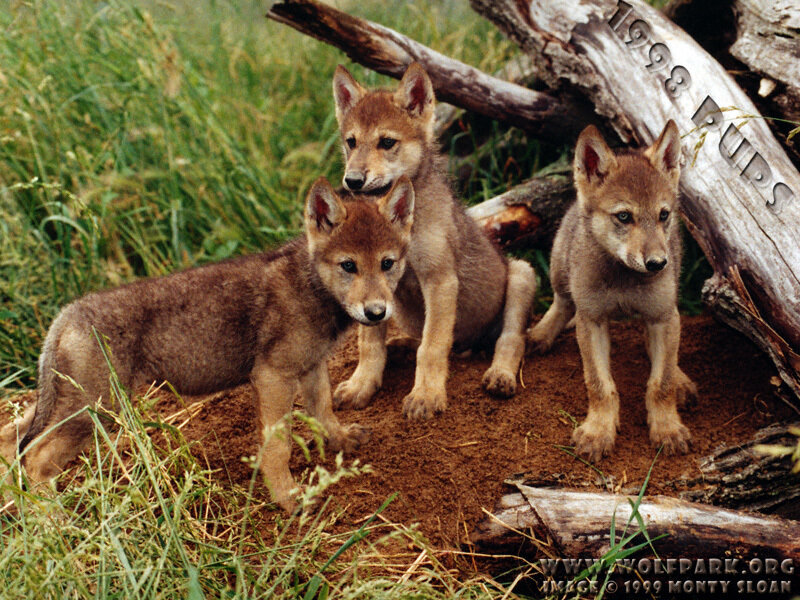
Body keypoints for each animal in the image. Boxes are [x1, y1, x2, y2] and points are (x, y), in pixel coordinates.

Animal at [9, 176, 414, 510]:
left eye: (387, 263)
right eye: (349, 266)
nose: (377, 312)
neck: (310, 285)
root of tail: (65, 316)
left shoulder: (311, 367)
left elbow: (324, 413)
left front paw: (342, 440)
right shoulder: (273, 376)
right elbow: (278, 446)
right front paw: (287, 498)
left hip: (66, 404)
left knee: (11, 441)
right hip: (95, 407)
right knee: (36, 457)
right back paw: (56, 521)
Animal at [331, 62, 537, 418]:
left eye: (387, 142)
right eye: (351, 142)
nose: (352, 180)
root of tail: (472, 346)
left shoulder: (440, 280)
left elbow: (432, 346)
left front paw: (426, 396)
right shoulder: (371, 281)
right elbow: (369, 345)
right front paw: (361, 385)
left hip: (522, 274)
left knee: (511, 339)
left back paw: (500, 375)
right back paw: (400, 347)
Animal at [527, 120, 697, 461]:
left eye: (663, 215)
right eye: (623, 216)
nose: (658, 263)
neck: (624, 280)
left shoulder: (662, 315)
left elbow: (661, 383)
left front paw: (667, 428)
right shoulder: (591, 320)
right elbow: (599, 385)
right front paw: (598, 431)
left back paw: (682, 379)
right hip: (559, 271)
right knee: (562, 304)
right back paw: (540, 335)